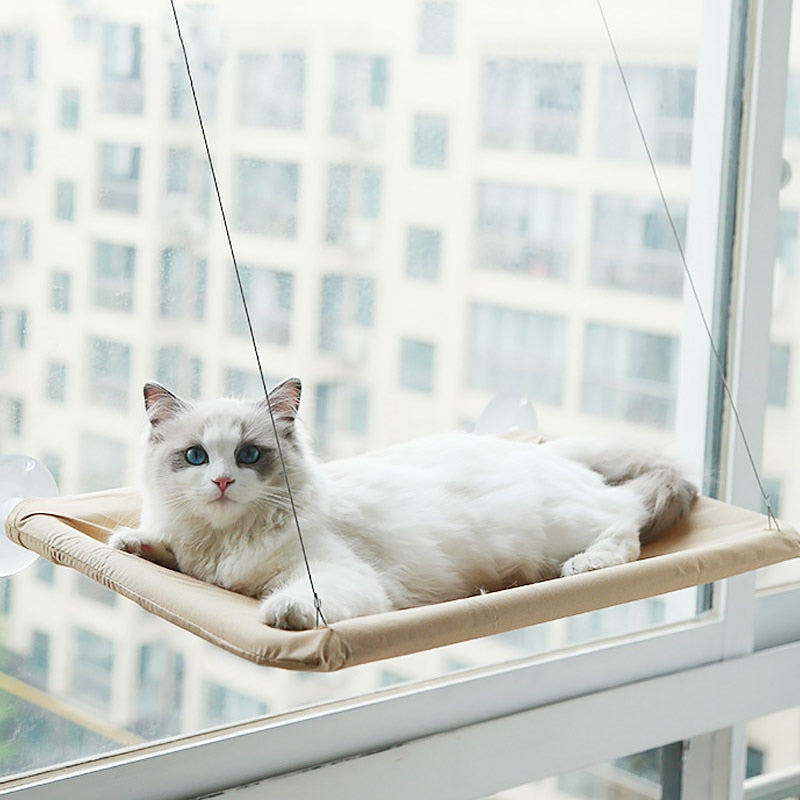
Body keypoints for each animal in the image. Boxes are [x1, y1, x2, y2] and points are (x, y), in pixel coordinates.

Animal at [109, 378, 696, 636]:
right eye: (196, 456)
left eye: (250, 455)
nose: (224, 481)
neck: (225, 542)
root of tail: (542, 451)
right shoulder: (193, 556)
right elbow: (162, 548)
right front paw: (130, 543)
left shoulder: (336, 575)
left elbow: (300, 599)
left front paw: (283, 613)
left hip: (566, 523)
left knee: (625, 521)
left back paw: (587, 564)